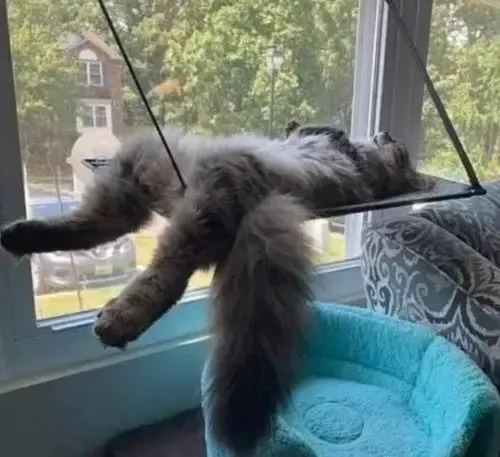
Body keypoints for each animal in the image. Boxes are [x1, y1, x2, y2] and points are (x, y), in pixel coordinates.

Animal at [0, 124, 428, 455]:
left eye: (400, 149)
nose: (388, 133)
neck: (370, 170)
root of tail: (264, 205)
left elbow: (321, 132)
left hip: (179, 193)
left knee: (158, 269)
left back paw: (119, 318)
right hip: (139, 189)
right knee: (92, 228)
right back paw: (20, 236)